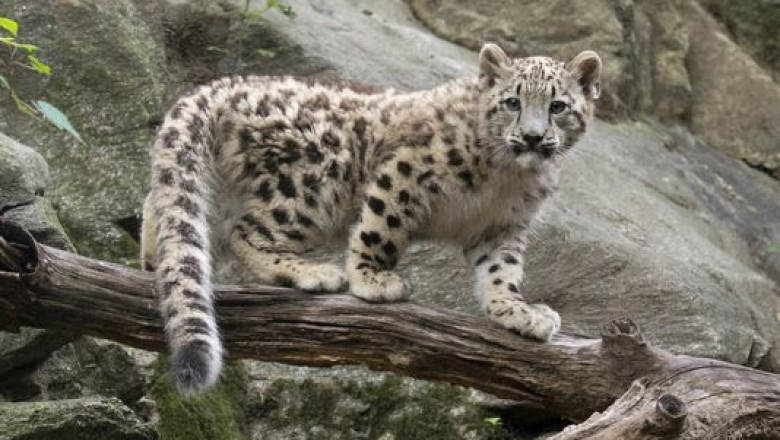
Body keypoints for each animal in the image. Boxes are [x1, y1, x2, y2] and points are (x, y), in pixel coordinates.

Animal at [140, 43, 602, 394]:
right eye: (512, 102)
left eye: (558, 106)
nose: (533, 137)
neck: (507, 178)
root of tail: (227, 84)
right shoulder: (405, 174)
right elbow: (381, 230)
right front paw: (372, 280)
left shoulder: (502, 226)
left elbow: (501, 271)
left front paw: (516, 311)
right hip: (308, 189)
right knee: (244, 233)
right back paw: (314, 273)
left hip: (214, 184)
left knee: (166, 205)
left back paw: (152, 260)